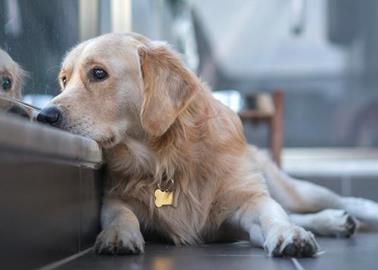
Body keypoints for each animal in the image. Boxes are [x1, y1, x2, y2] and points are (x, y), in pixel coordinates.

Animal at [37, 33, 378, 258]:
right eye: (64, 80)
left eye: (98, 73)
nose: (44, 115)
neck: (166, 159)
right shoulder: (115, 197)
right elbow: (121, 214)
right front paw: (118, 234)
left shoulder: (247, 199)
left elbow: (273, 215)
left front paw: (288, 234)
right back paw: (334, 222)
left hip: (292, 189)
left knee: (327, 201)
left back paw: (344, 215)